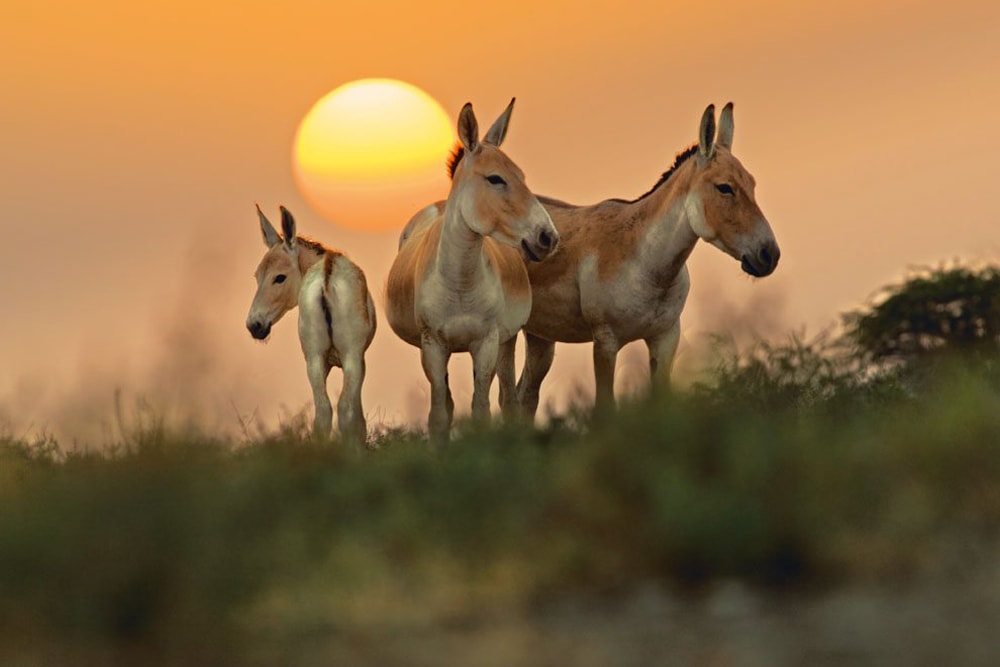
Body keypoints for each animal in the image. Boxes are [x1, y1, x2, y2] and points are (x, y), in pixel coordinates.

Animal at [248, 206, 376, 446]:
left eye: (279, 277)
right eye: (257, 276)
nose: (254, 325)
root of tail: (327, 273)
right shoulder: (357, 359)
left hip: (314, 358)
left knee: (323, 413)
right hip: (349, 356)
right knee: (344, 409)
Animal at [386, 99, 560, 440]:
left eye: (522, 175)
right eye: (495, 179)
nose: (548, 237)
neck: (460, 282)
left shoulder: (487, 342)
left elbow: (482, 409)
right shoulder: (433, 345)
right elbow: (440, 413)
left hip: (505, 341)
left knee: (507, 396)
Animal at [516, 103, 780, 418]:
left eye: (752, 183)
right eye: (724, 187)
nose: (769, 254)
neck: (646, 263)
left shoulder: (665, 337)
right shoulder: (605, 341)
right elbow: (604, 408)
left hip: (540, 335)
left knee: (523, 396)